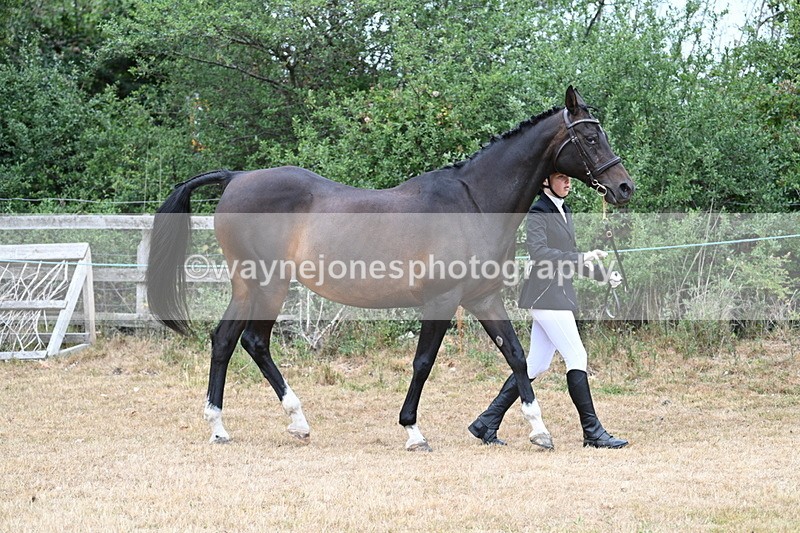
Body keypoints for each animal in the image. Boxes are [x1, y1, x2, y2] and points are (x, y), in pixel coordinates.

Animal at [146, 86, 634, 451]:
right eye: (591, 138)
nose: (624, 187)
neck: (473, 202)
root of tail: (236, 178)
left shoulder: (482, 298)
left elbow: (515, 356)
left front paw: (537, 429)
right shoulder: (441, 300)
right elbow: (423, 362)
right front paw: (413, 430)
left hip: (259, 287)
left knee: (236, 341)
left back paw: (257, 424)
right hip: (263, 285)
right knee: (243, 340)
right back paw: (256, 423)